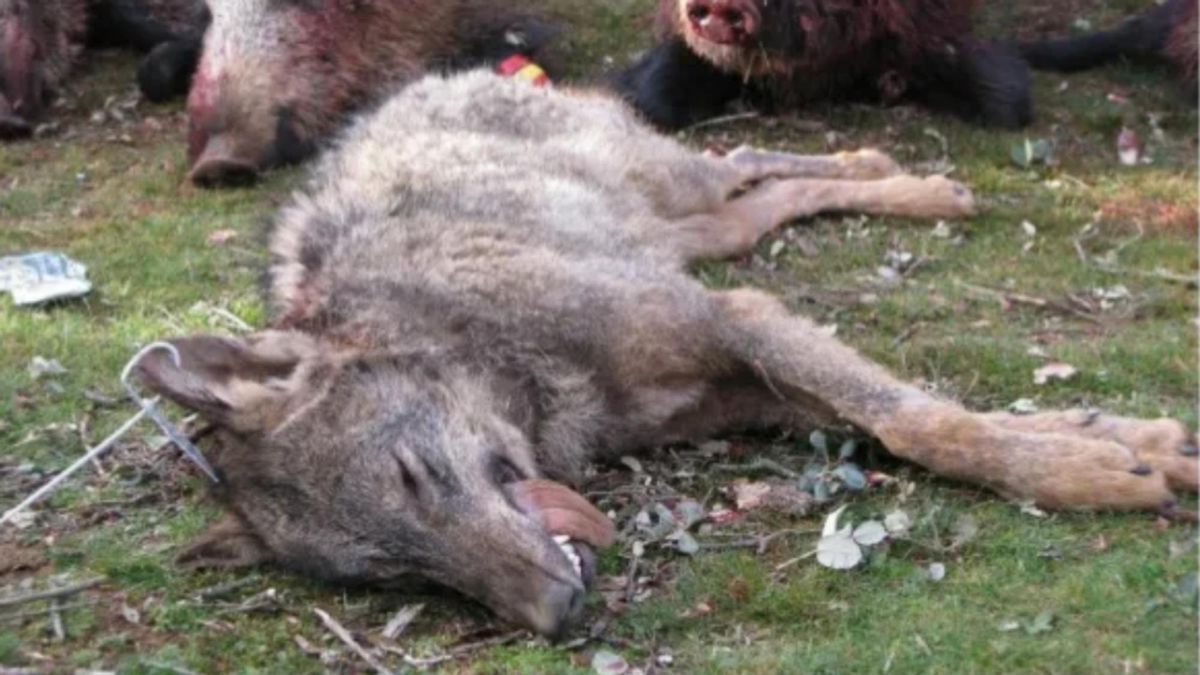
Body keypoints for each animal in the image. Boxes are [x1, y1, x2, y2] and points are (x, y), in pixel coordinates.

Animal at [137, 71, 1196, 637]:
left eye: (412, 476)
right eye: (398, 576)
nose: (558, 614)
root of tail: (423, 80)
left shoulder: (736, 318)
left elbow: (922, 423)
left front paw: (1087, 466)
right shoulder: (746, 367)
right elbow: (910, 419)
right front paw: (1119, 440)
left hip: (680, 193)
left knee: (747, 161)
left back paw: (906, 178)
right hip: (698, 233)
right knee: (762, 198)